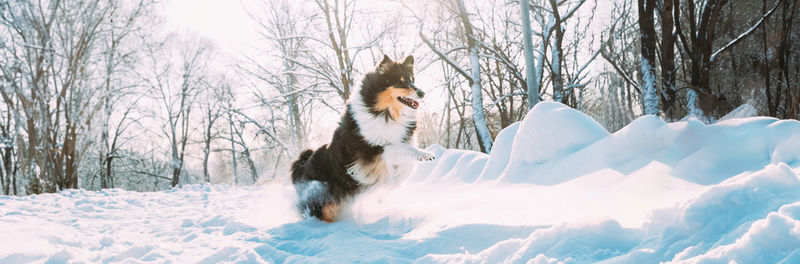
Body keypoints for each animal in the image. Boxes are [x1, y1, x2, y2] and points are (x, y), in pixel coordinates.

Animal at [290, 55, 434, 223]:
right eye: (400, 82)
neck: (384, 113)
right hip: (321, 194)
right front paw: (424, 154)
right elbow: (399, 147)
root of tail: (303, 163)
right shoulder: (370, 153)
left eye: (412, 80)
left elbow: (405, 168)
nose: (422, 93)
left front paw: (389, 185)